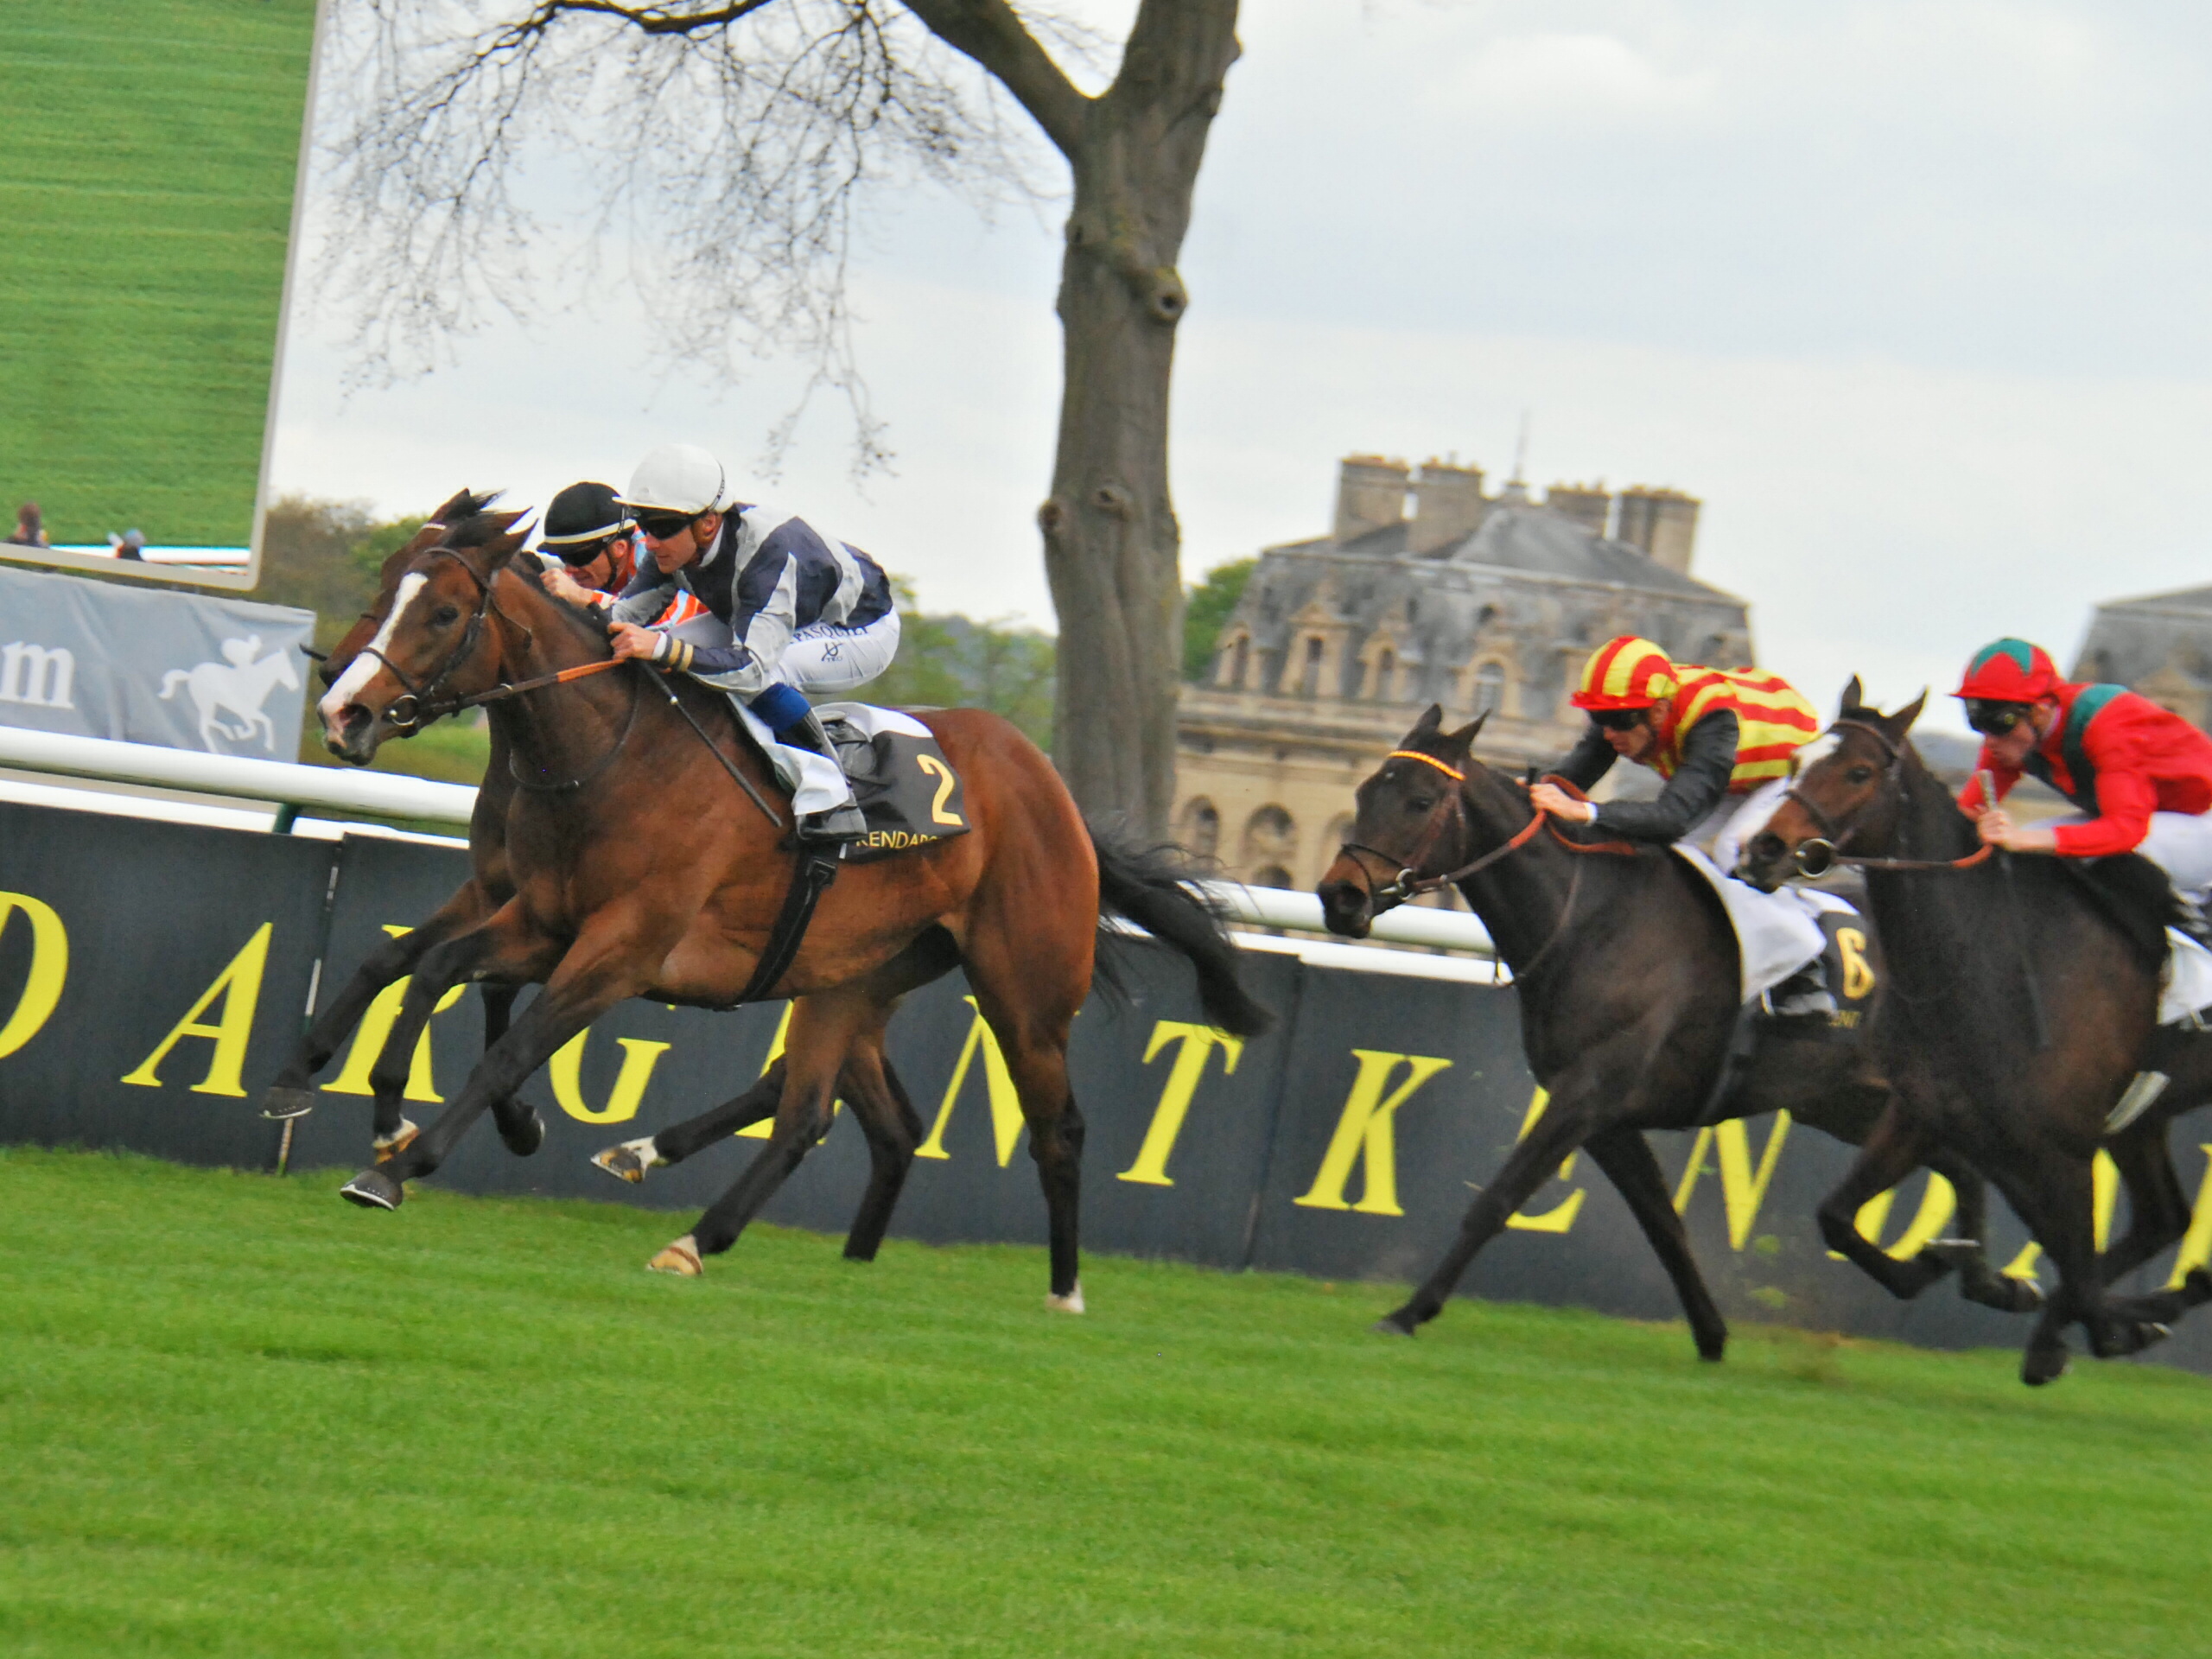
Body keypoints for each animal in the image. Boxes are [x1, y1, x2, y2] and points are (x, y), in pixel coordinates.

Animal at [307, 499, 1265, 1309]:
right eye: (383, 584)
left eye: (440, 614)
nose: (342, 710)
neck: (615, 760)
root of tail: (1059, 797)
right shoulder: (539, 920)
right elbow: (429, 967)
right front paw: (382, 1114)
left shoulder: (620, 951)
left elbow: (510, 1051)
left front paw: (401, 1165)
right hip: (857, 973)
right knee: (809, 1111)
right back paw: (696, 1227)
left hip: (1024, 991)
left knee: (1056, 1126)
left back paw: (1064, 1292)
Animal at [1309, 703, 2035, 1362]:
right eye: (1364, 792)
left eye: (1421, 800)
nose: (1339, 899)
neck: (1589, 917)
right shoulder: (1607, 1115)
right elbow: (1663, 1222)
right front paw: (1712, 1335)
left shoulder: (1587, 1093)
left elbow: (1497, 1199)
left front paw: (1409, 1311)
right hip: (1847, 1102)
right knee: (1961, 1169)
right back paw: (1977, 1277)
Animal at [1743, 681, 2212, 1380]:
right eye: (1798, 760)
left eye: (1859, 772)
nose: (1764, 850)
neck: (1987, 953)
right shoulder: (1930, 1114)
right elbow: (1837, 1218)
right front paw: (1956, 1268)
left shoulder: (2062, 1149)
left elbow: (2077, 1272)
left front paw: (2113, 1321)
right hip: (2141, 1119)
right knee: (2162, 1218)